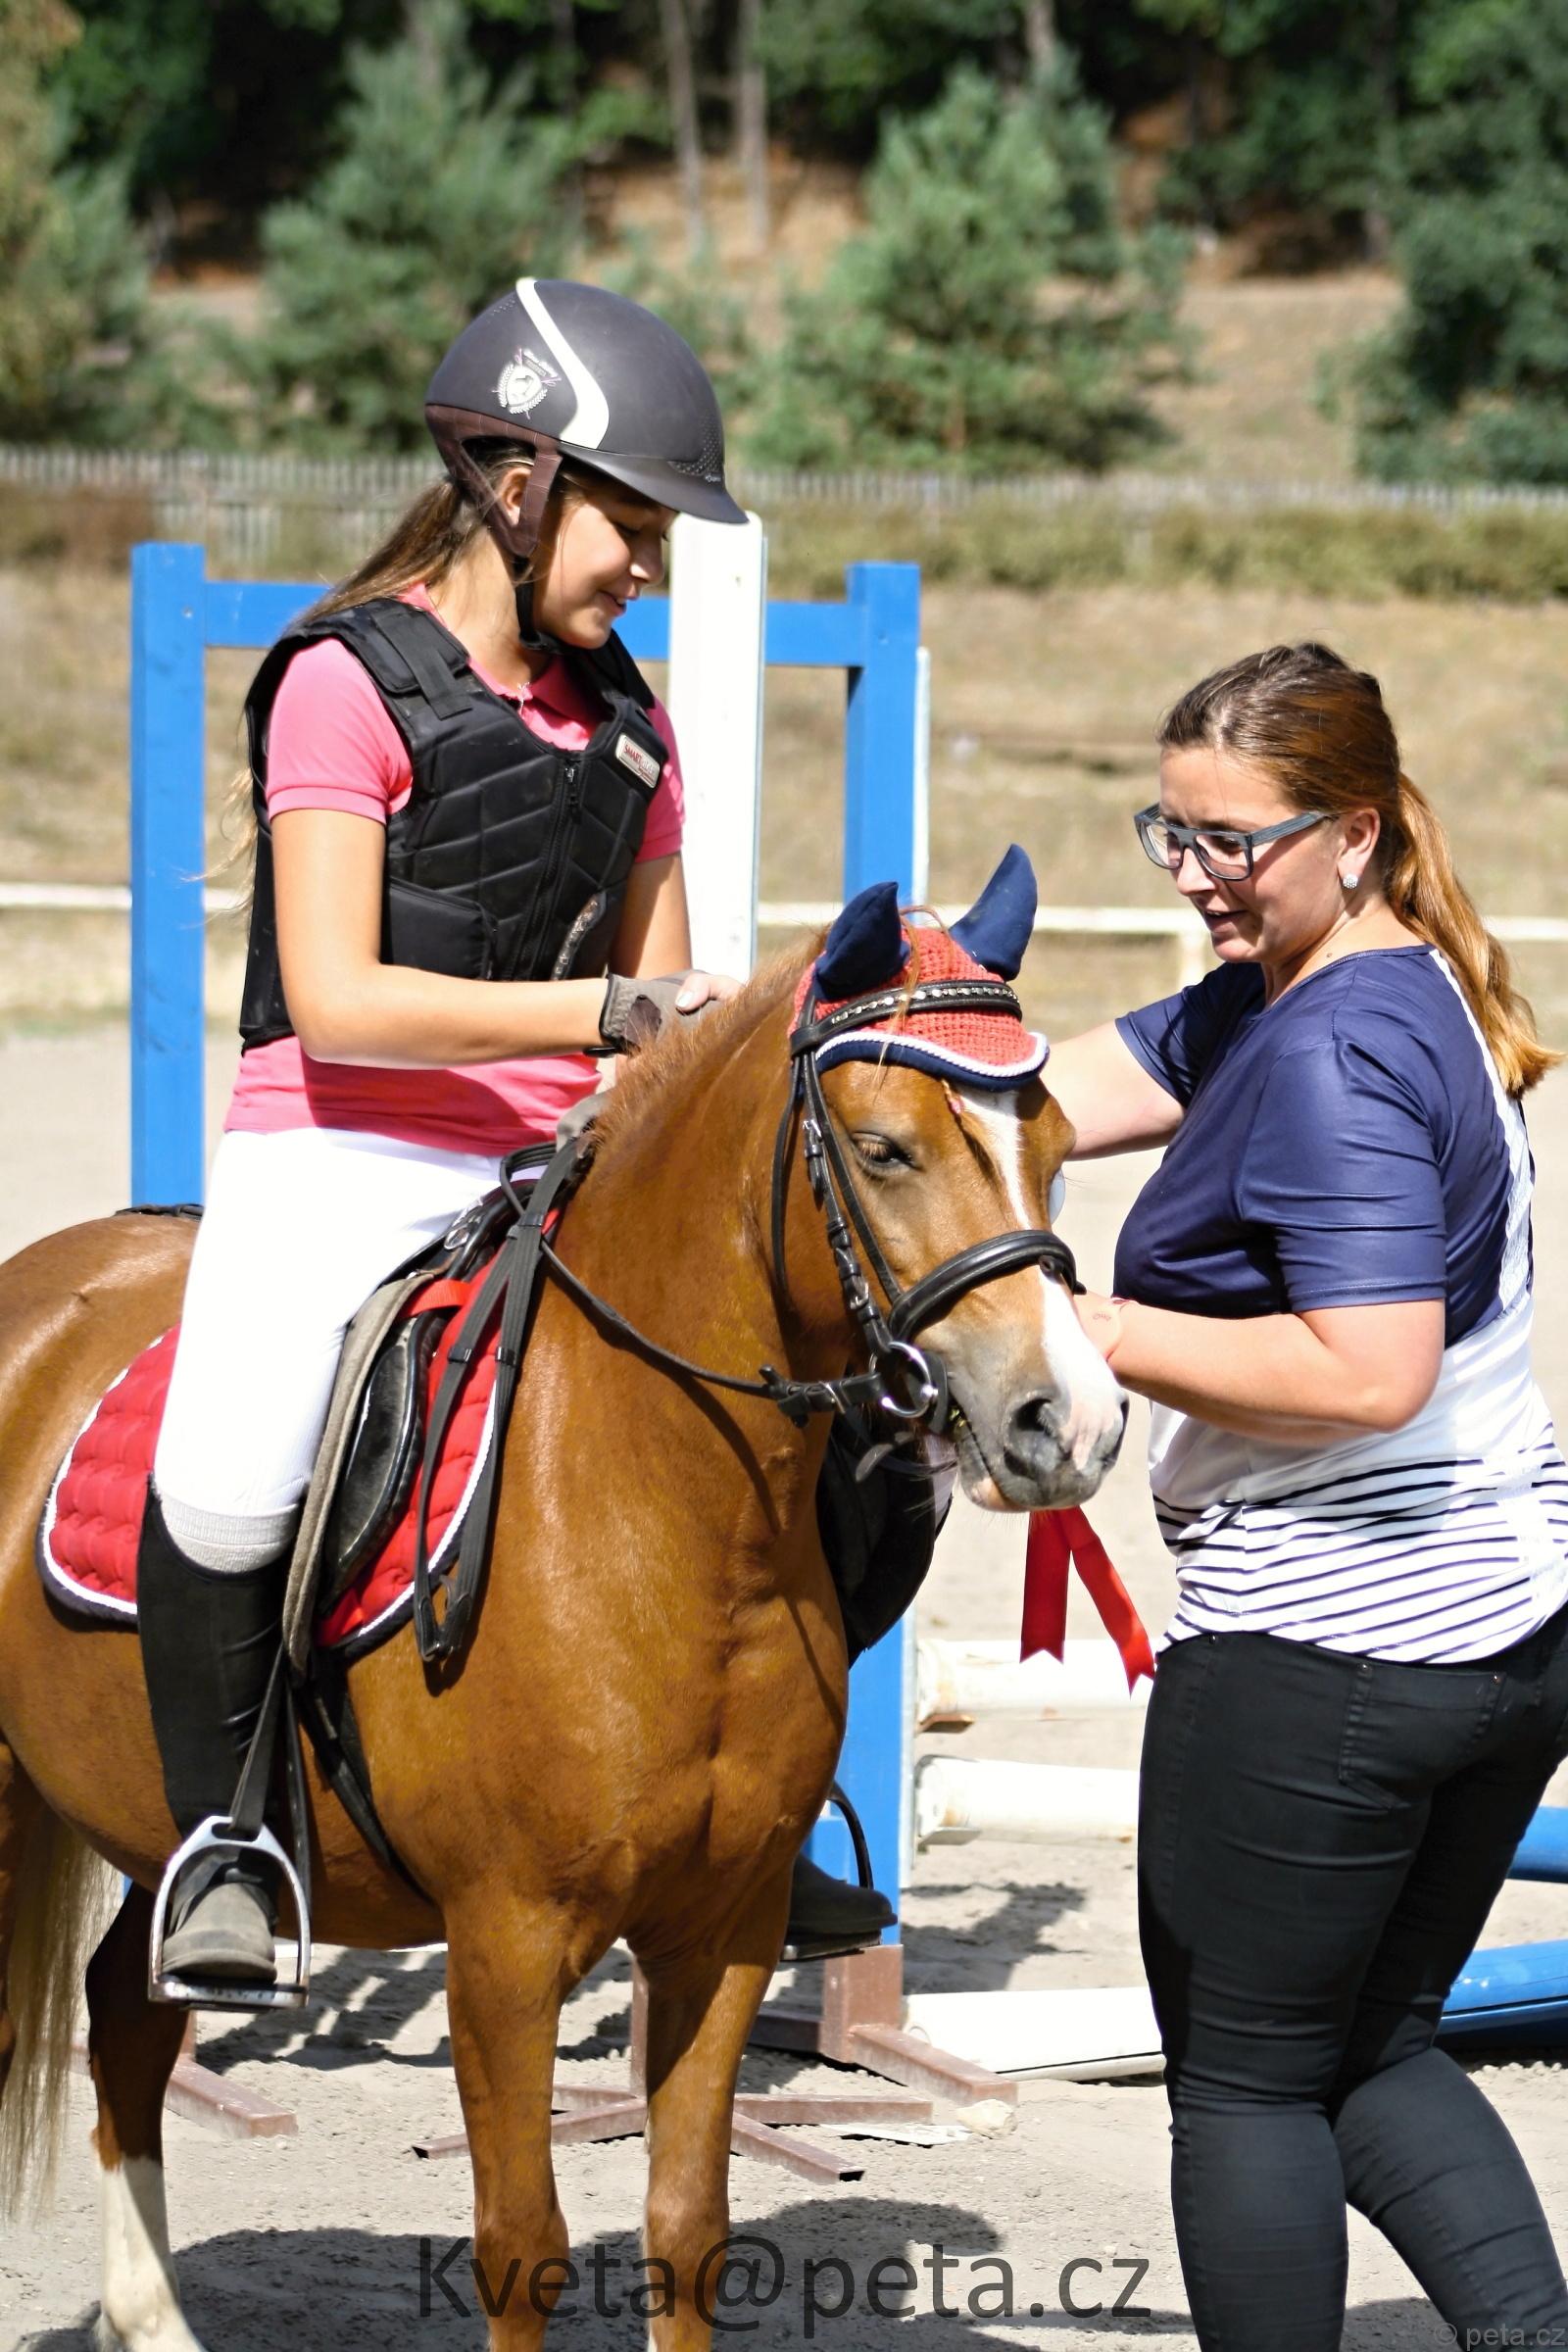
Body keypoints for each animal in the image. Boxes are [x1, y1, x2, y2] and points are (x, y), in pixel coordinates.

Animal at [0, 865, 1126, 2351]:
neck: (668, 1521)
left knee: (128, 2020)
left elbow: (686, 2228)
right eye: (884, 1150)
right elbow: (521, 2242)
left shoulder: (725, 1928)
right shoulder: (505, 1943)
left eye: (1053, 1140)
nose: (1074, 1425)